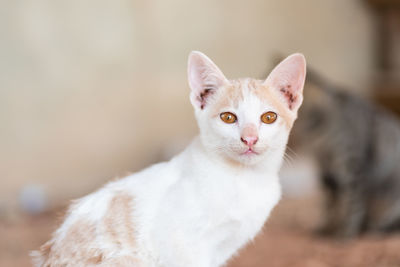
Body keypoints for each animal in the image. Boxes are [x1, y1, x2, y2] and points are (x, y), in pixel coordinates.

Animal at [292, 70, 400, 238]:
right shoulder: (325, 169)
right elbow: (331, 205)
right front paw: (327, 227)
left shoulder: (353, 167)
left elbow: (353, 205)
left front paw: (346, 233)